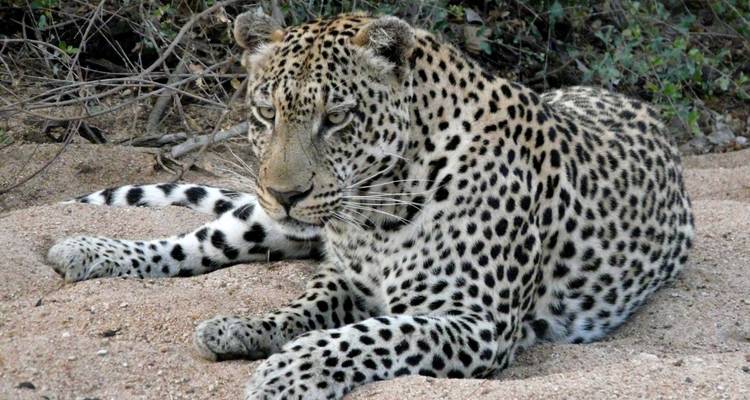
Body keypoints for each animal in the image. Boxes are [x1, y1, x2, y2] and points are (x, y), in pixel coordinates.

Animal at [47, 11, 694, 400]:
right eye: (265, 112)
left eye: (336, 117)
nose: (286, 193)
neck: (375, 211)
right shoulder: (343, 275)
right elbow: (303, 310)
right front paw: (247, 328)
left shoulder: (473, 320)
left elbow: (360, 336)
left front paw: (280, 371)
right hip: (259, 221)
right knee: (192, 243)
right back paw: (86, 248)